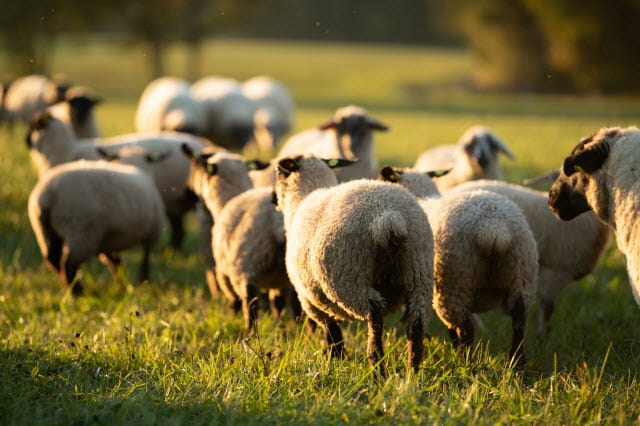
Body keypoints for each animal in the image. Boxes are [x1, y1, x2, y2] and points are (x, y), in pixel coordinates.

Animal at [28, 158, 166, 294]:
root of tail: (48, 194)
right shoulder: (151, 232)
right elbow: (145, 257)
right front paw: (143, 281)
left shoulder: (108, 240)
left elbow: (115, 262)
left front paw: (122, 284)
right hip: (81, 230)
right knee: (68, 263)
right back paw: (78, 292)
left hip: (45, 231)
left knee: (53, 259)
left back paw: (71, 286)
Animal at [272, 156, 432, 372]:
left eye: (279, 172)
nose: (272, 198)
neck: (303, 198)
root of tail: (389, 218)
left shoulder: (311, 299)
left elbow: (331, 332)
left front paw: (335, 359)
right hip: (419, 274)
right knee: (416, 325)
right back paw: (412, 371)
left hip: (348, 279)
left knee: (375, 314)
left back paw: (377, 365)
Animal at [380, 168, 540, 364]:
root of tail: (494, 227)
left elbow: (452, 330)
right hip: (522, 275)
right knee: (519, 321)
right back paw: (516, 363)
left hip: (455, 283)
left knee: (466, 328)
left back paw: (464, 361)